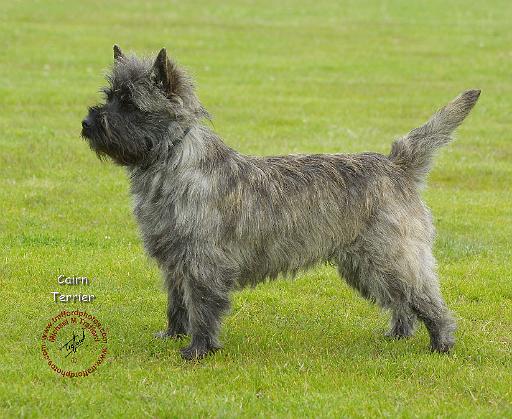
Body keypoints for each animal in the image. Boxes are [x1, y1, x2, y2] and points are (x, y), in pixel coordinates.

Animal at [82, 46, 482, 360]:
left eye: (130, 103)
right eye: (109, 95)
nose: (87, 122)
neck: (171, 164)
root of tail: (397, 165)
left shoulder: (202, 261)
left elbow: (202, 306)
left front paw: (197, 350)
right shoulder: (174, 261)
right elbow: (177, 302)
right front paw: (172, 335)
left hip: (392, 256)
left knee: (425, 297)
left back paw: (442, 343)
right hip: (365, 265)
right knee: (402, 302)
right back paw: (398, 334)